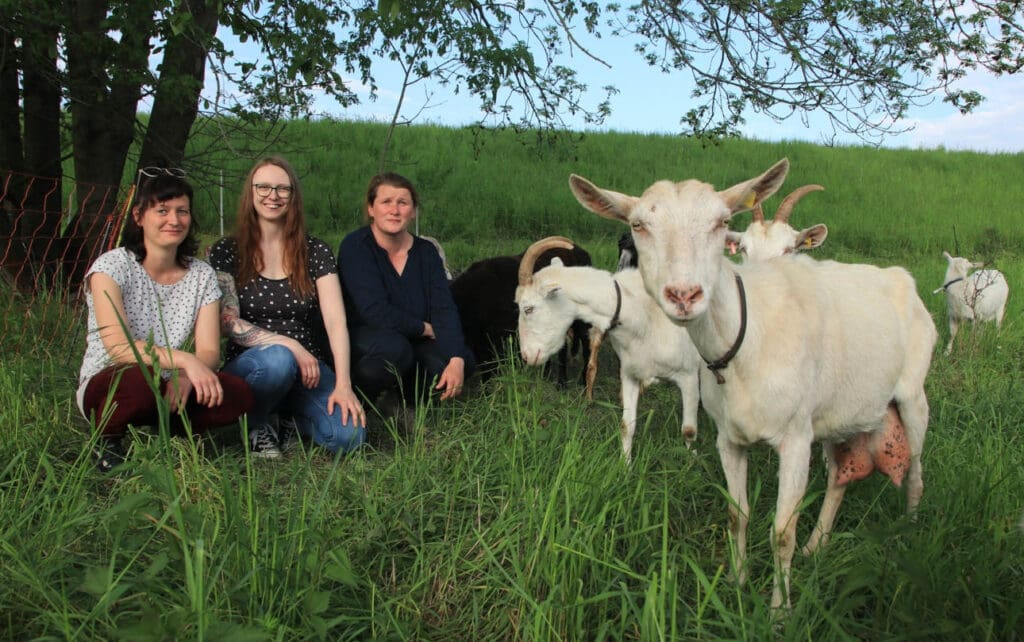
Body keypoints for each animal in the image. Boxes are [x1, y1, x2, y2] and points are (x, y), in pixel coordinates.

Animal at [520, 236, 704, 462]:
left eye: (528, 308)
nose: (527, 356)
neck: (643, 313)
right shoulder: (630, 372)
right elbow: (627, 425)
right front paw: (625, 465)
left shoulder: (689, 376)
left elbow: (688, 430)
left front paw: (690, 462)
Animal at [569, 158, 937, 610]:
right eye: (638, 224)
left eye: (722, 221)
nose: (684, 294)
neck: (748, 336)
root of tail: (903, 280)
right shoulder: (729, 438)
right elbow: (736, 513)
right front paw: (737, 583)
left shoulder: (795, 440)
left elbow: (782, 531)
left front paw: (779, 610)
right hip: (839, 413)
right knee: (840, 475)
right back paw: (817, 546)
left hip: (912, 397)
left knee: (916, 469)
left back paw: (908, 533)